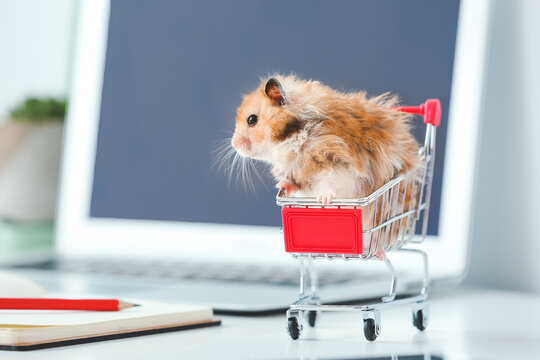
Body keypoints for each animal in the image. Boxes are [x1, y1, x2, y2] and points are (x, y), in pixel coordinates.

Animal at [230, 74, 420, 204]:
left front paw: (324, 199)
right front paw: (281, 186)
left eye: (252, 120)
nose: (234, 145)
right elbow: (299, 184)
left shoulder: (336, 159)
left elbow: (332, 181)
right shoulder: (299, 171)